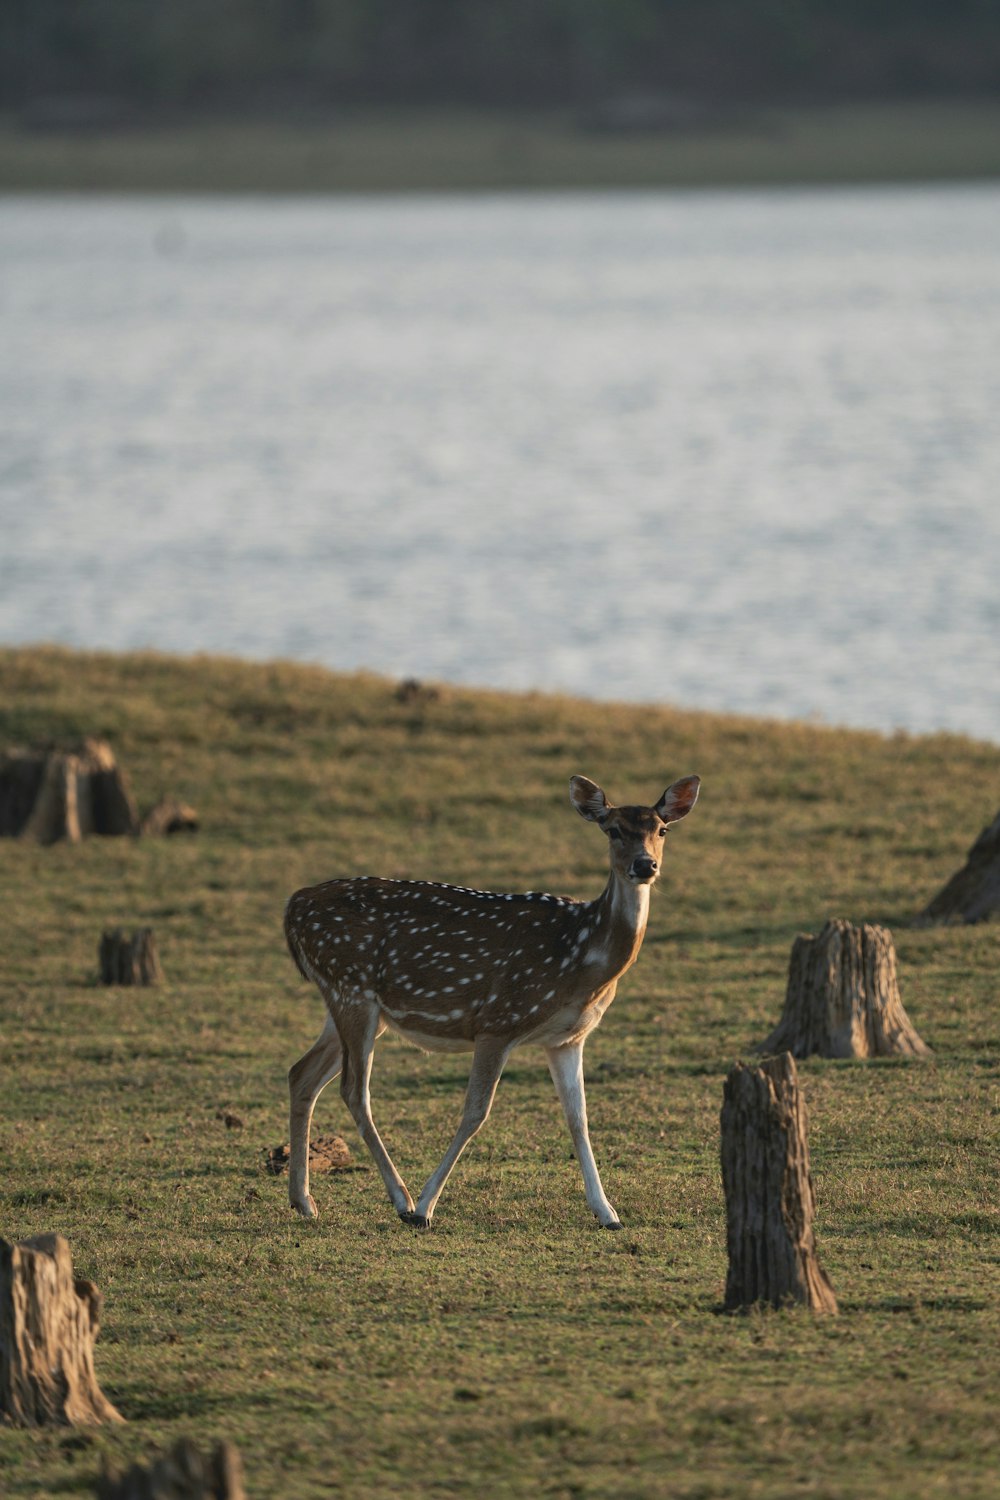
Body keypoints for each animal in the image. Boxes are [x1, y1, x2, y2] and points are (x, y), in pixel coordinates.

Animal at [284, 774, 701, 1230]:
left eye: (662, 830)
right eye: (612, 829)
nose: (645, 865)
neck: (581, 956)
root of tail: (292, 907)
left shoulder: (567, 1038)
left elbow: (579, 1119)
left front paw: (607, 1212)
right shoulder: (498, 1020)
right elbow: (475, 1113)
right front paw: (427, 1208)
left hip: (352, 1004)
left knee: (301, 1073)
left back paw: (303, 1201)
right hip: (352, 990)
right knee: (354, 1090)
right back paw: (402, 1200)